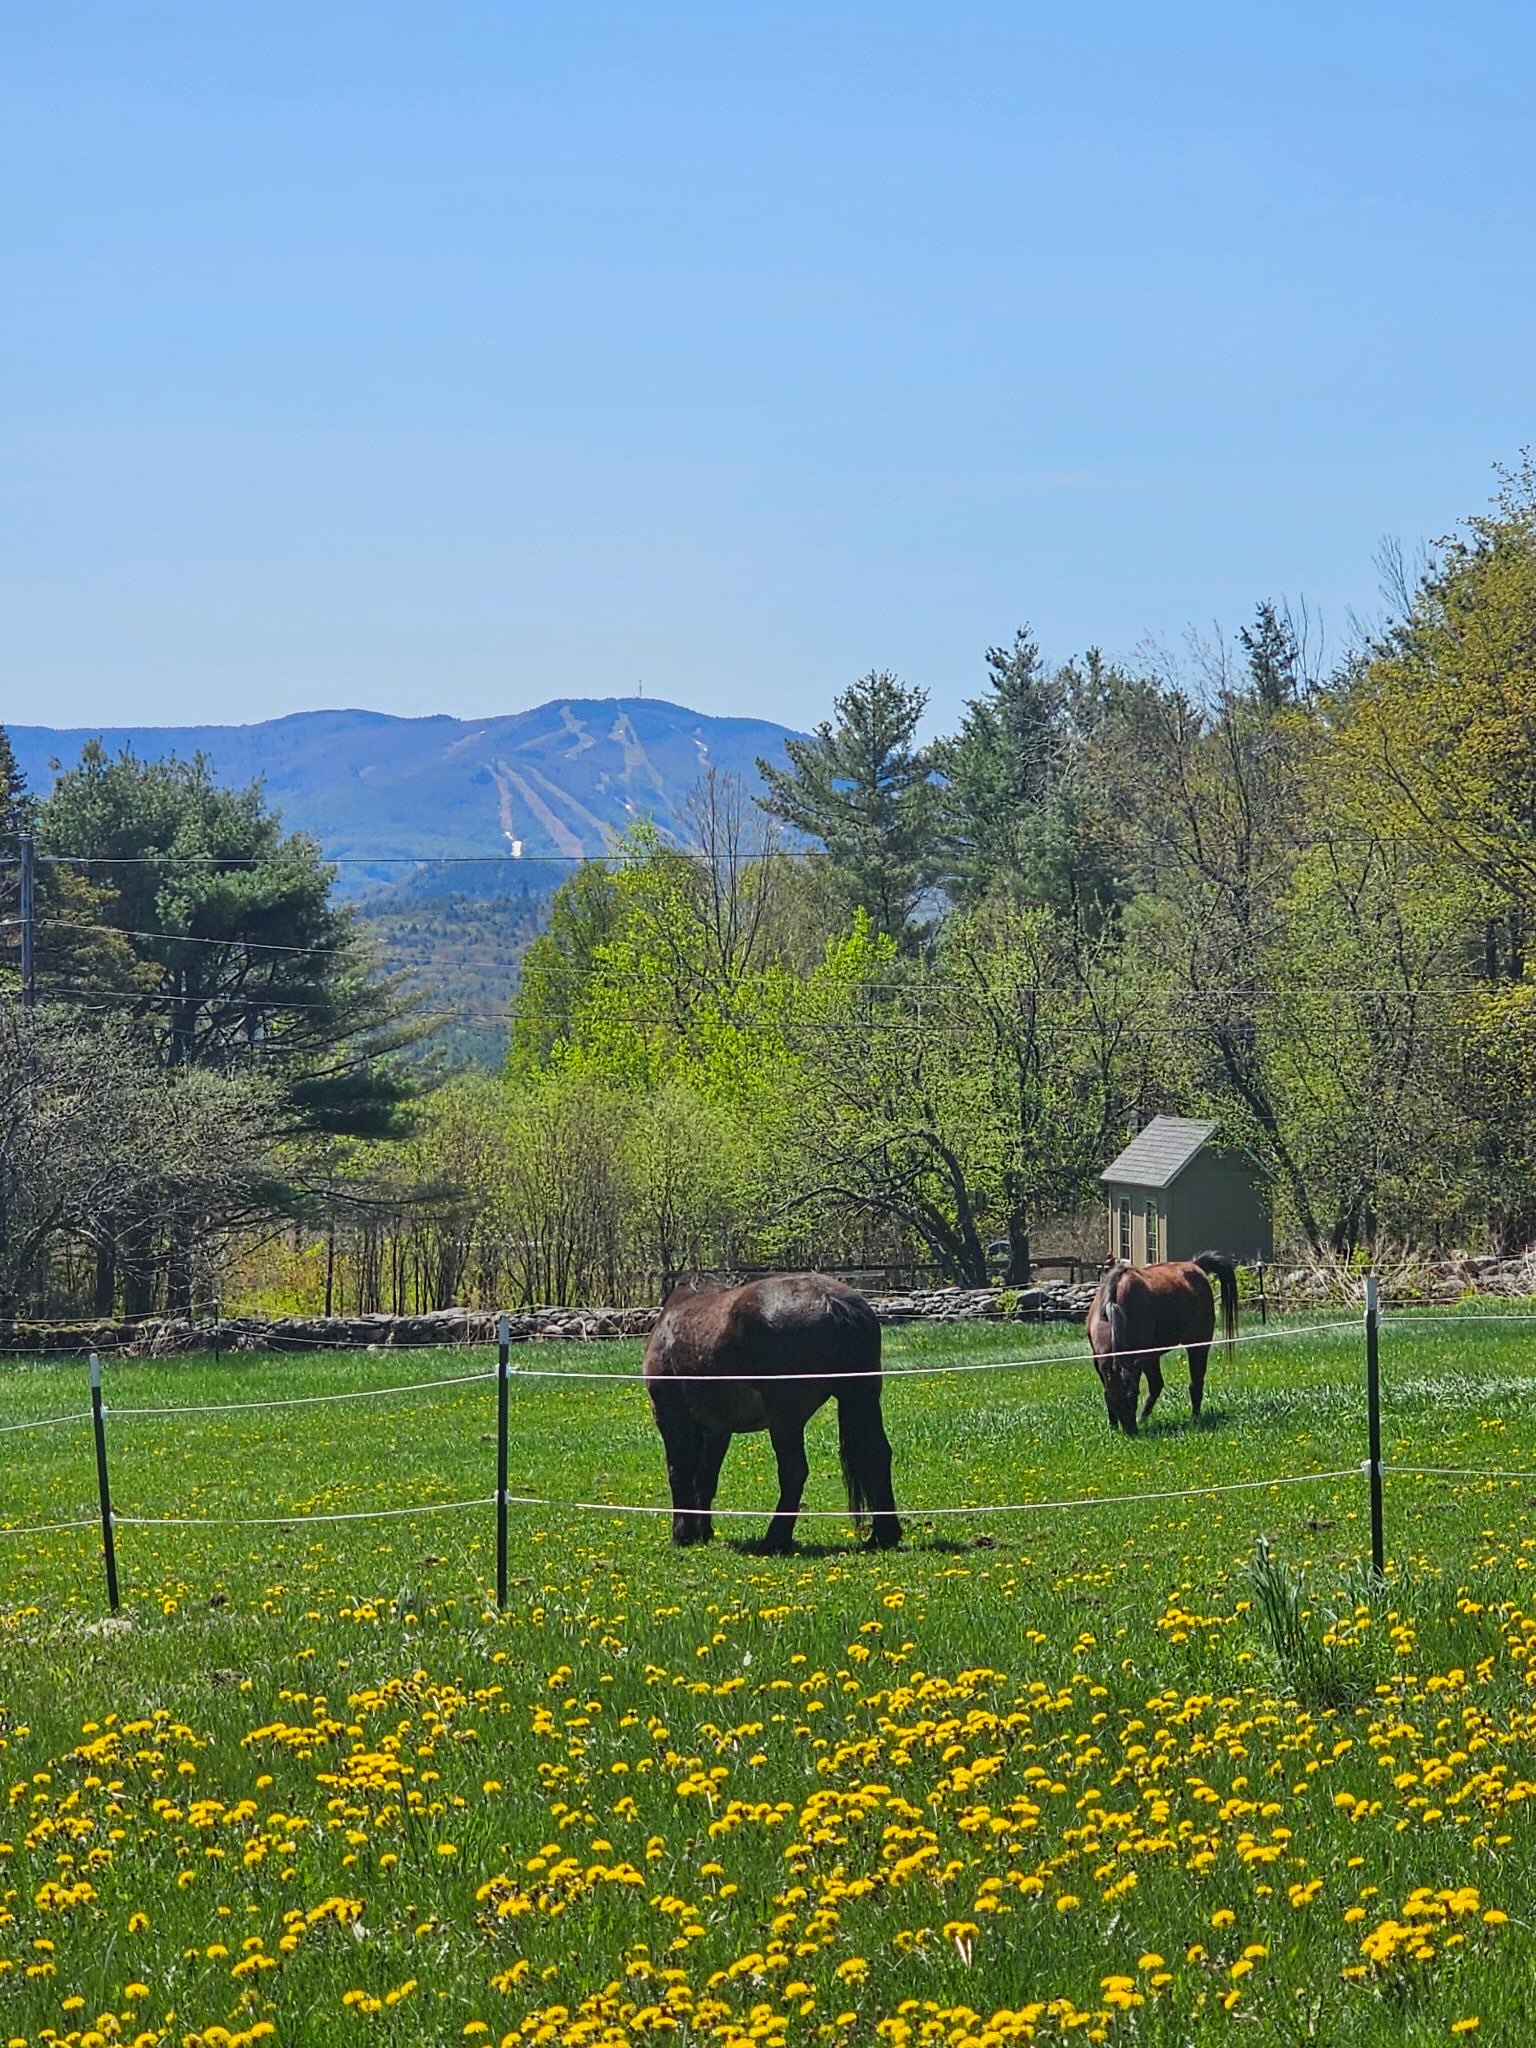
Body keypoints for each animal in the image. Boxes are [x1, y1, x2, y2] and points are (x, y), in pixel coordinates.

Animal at [642, 1272, 902, 1553]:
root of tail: (832, 1302)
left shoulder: (671, 1418)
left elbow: (679, 1473)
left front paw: (683, 1534)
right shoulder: (716, 1429)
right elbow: (705, 1479)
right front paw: (703, 1531)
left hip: (785, 1422)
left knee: (794, 1471)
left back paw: (775, 1539)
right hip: (863, 1399)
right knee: (877, 1454)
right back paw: (884, 1535)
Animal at [1085, 1251, 1239, 1434]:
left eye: (1134, 1394)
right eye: (1114, 1398)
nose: (1131, 1432)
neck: (1112, 1308)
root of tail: (1196, 1265)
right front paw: (1113, 1426)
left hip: (1198, 1345)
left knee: (1195, 1383)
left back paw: (1194, 1419)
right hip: (1153, 1357)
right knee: (1157, 1385)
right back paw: (1144, 1419)